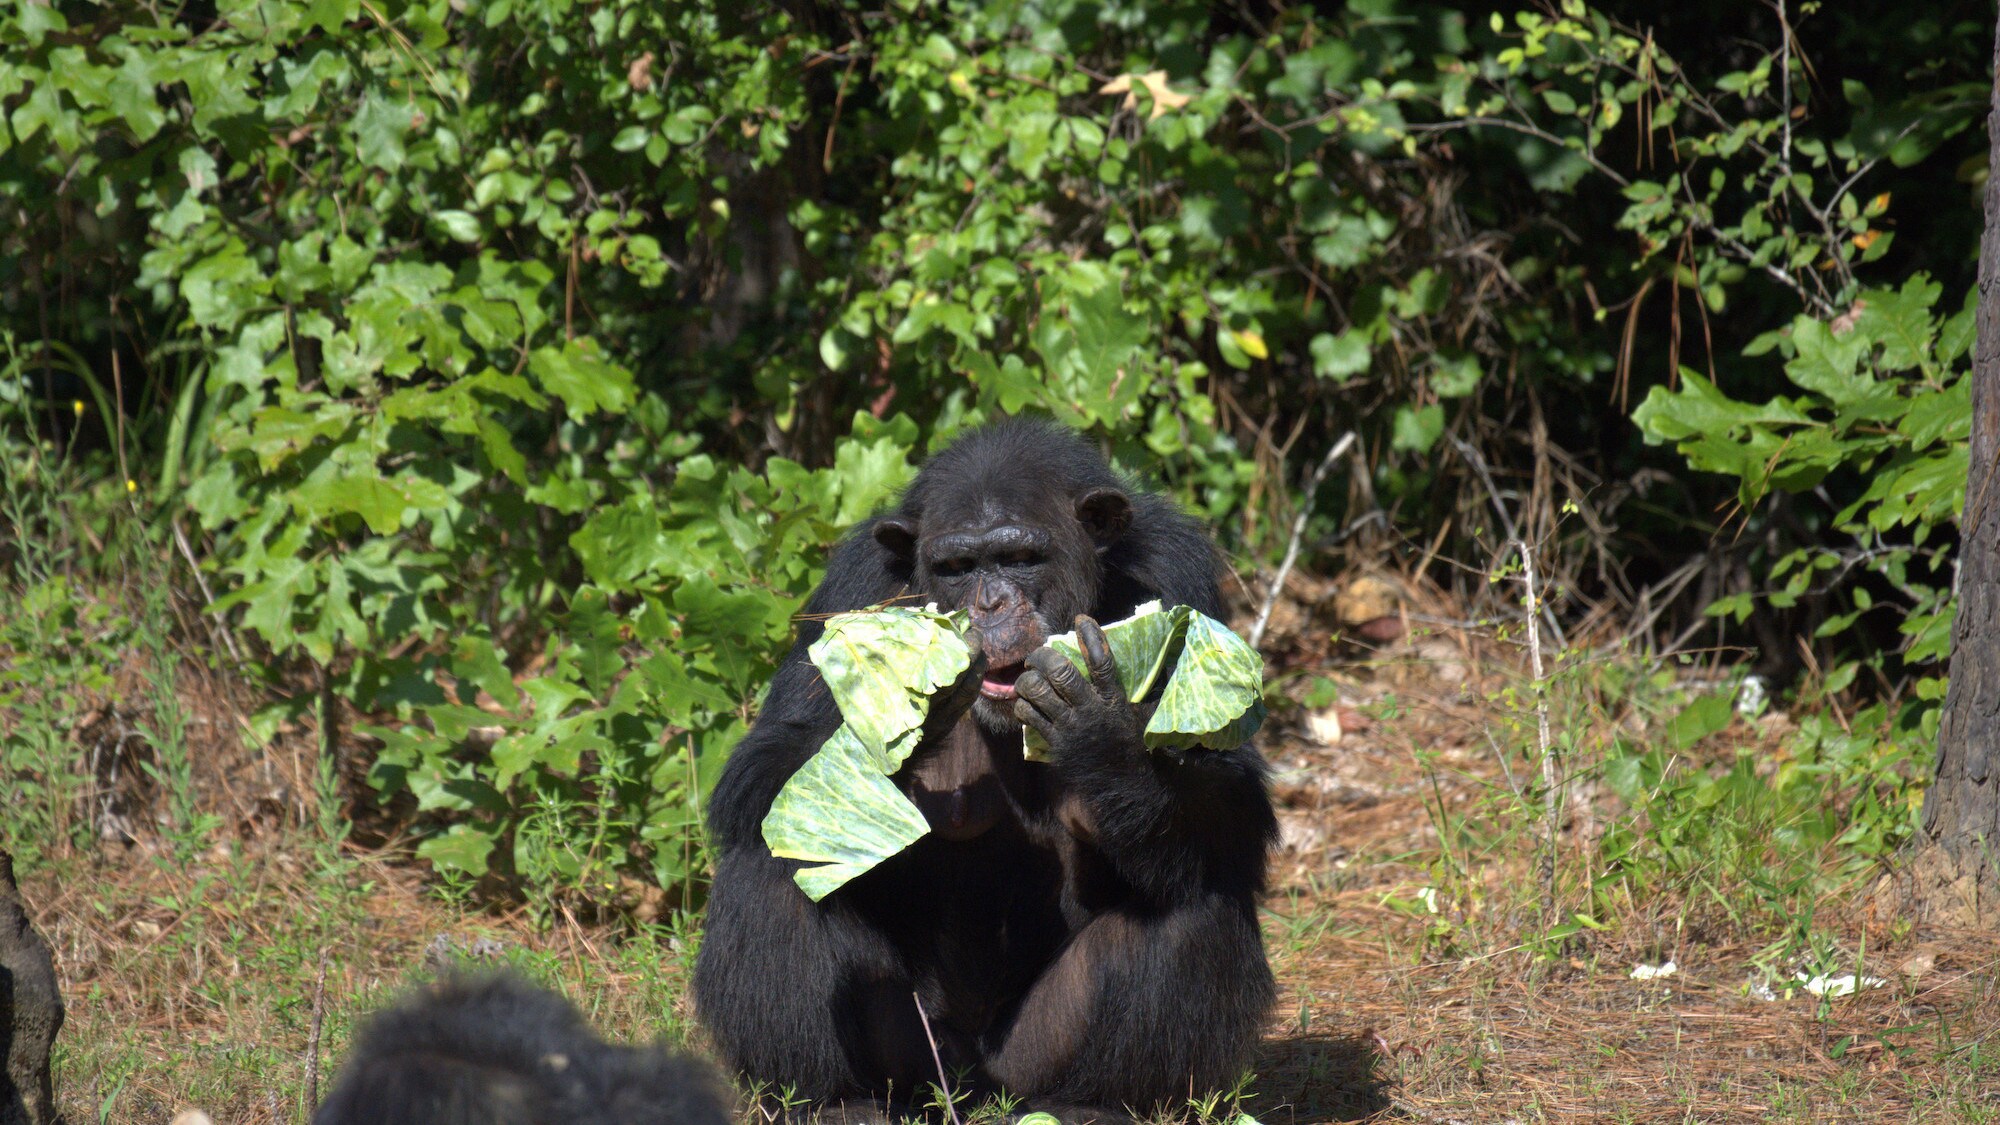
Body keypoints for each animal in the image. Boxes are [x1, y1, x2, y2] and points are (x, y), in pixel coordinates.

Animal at [696, 418, 1272, 1112]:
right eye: (956, 567)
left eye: (1020, 559)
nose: (991, 604)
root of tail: (974, 1088)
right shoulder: (854, 586)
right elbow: (771, 751)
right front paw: (905, 712)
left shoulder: (1175, 570)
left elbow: (1233, 790)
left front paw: (1103, 735)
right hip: (917, 1060)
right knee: (772, 872)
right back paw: (834, 1101)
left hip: (1030, 1057)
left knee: (1195, 902)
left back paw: (1097, 1104)